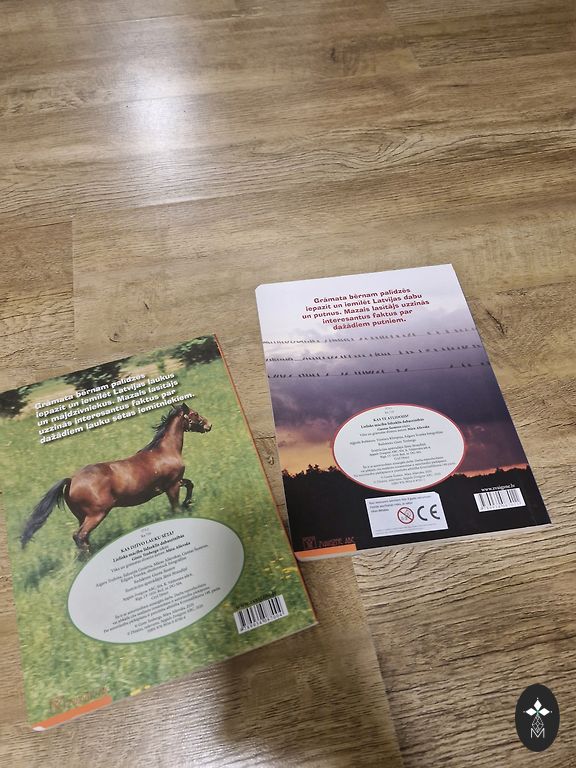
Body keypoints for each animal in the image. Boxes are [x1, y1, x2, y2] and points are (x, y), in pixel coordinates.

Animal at [20, 403, 211, 555]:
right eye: (194, 414)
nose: (209, 425)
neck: (165, 451)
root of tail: (71, 480)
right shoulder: (172, 486)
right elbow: (176, 506)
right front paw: (184, 508)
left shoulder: (175, 483)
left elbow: (190, 484)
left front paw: (188, 502)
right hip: (96, 514)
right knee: (79, 536)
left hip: (83, 516)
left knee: (83, 537)